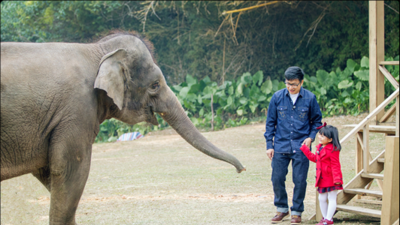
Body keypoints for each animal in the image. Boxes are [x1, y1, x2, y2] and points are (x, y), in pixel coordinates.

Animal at [0, 30, 247, 225]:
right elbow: (68, 170)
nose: (242, 170)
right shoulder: (76, 111)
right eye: (155, 85)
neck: (97, 50)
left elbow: (51, 176)